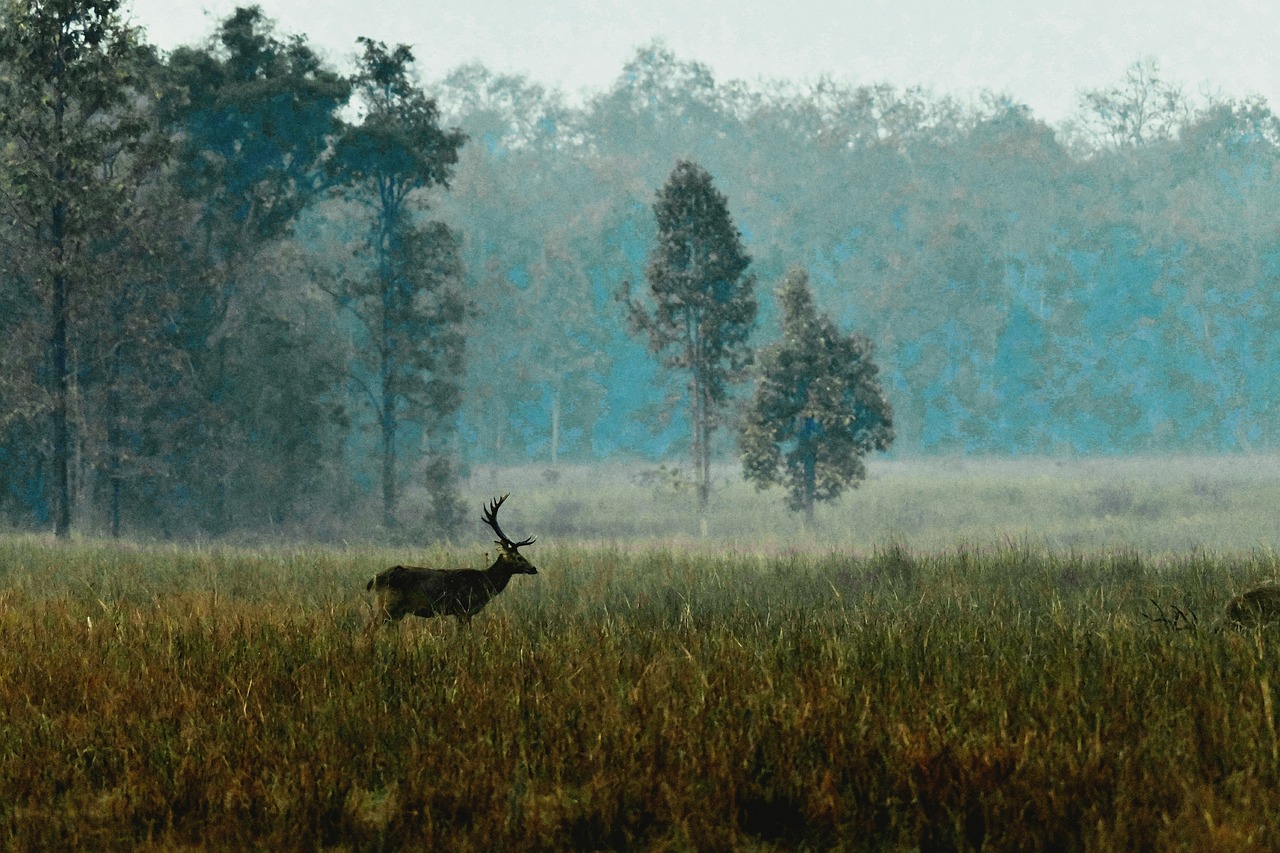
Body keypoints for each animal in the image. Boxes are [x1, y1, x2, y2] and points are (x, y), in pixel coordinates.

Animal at [368, 491, 537, 625]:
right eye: (518, 557)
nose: (533, 568)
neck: (484, 584)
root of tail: (374, 580)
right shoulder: (463, 608)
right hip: (388, 604)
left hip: (397, 611)